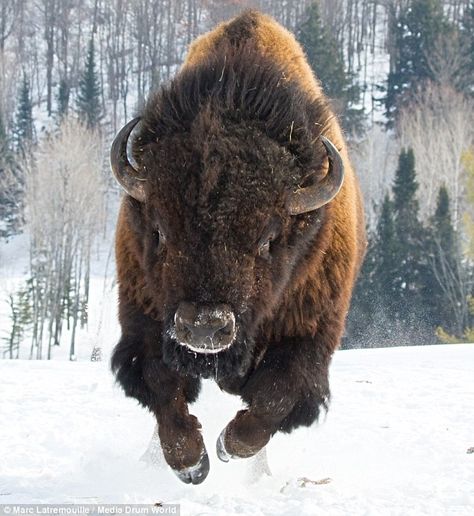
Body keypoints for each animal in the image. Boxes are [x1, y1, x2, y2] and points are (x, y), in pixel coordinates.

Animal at [109, 10, 364, 486]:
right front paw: (191, 463)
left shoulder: (310, 332)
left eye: (268, 239)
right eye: (160, 231)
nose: (204, 327)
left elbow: (278, 395)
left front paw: (229, 447)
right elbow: (161, 385)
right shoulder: (145, 317)